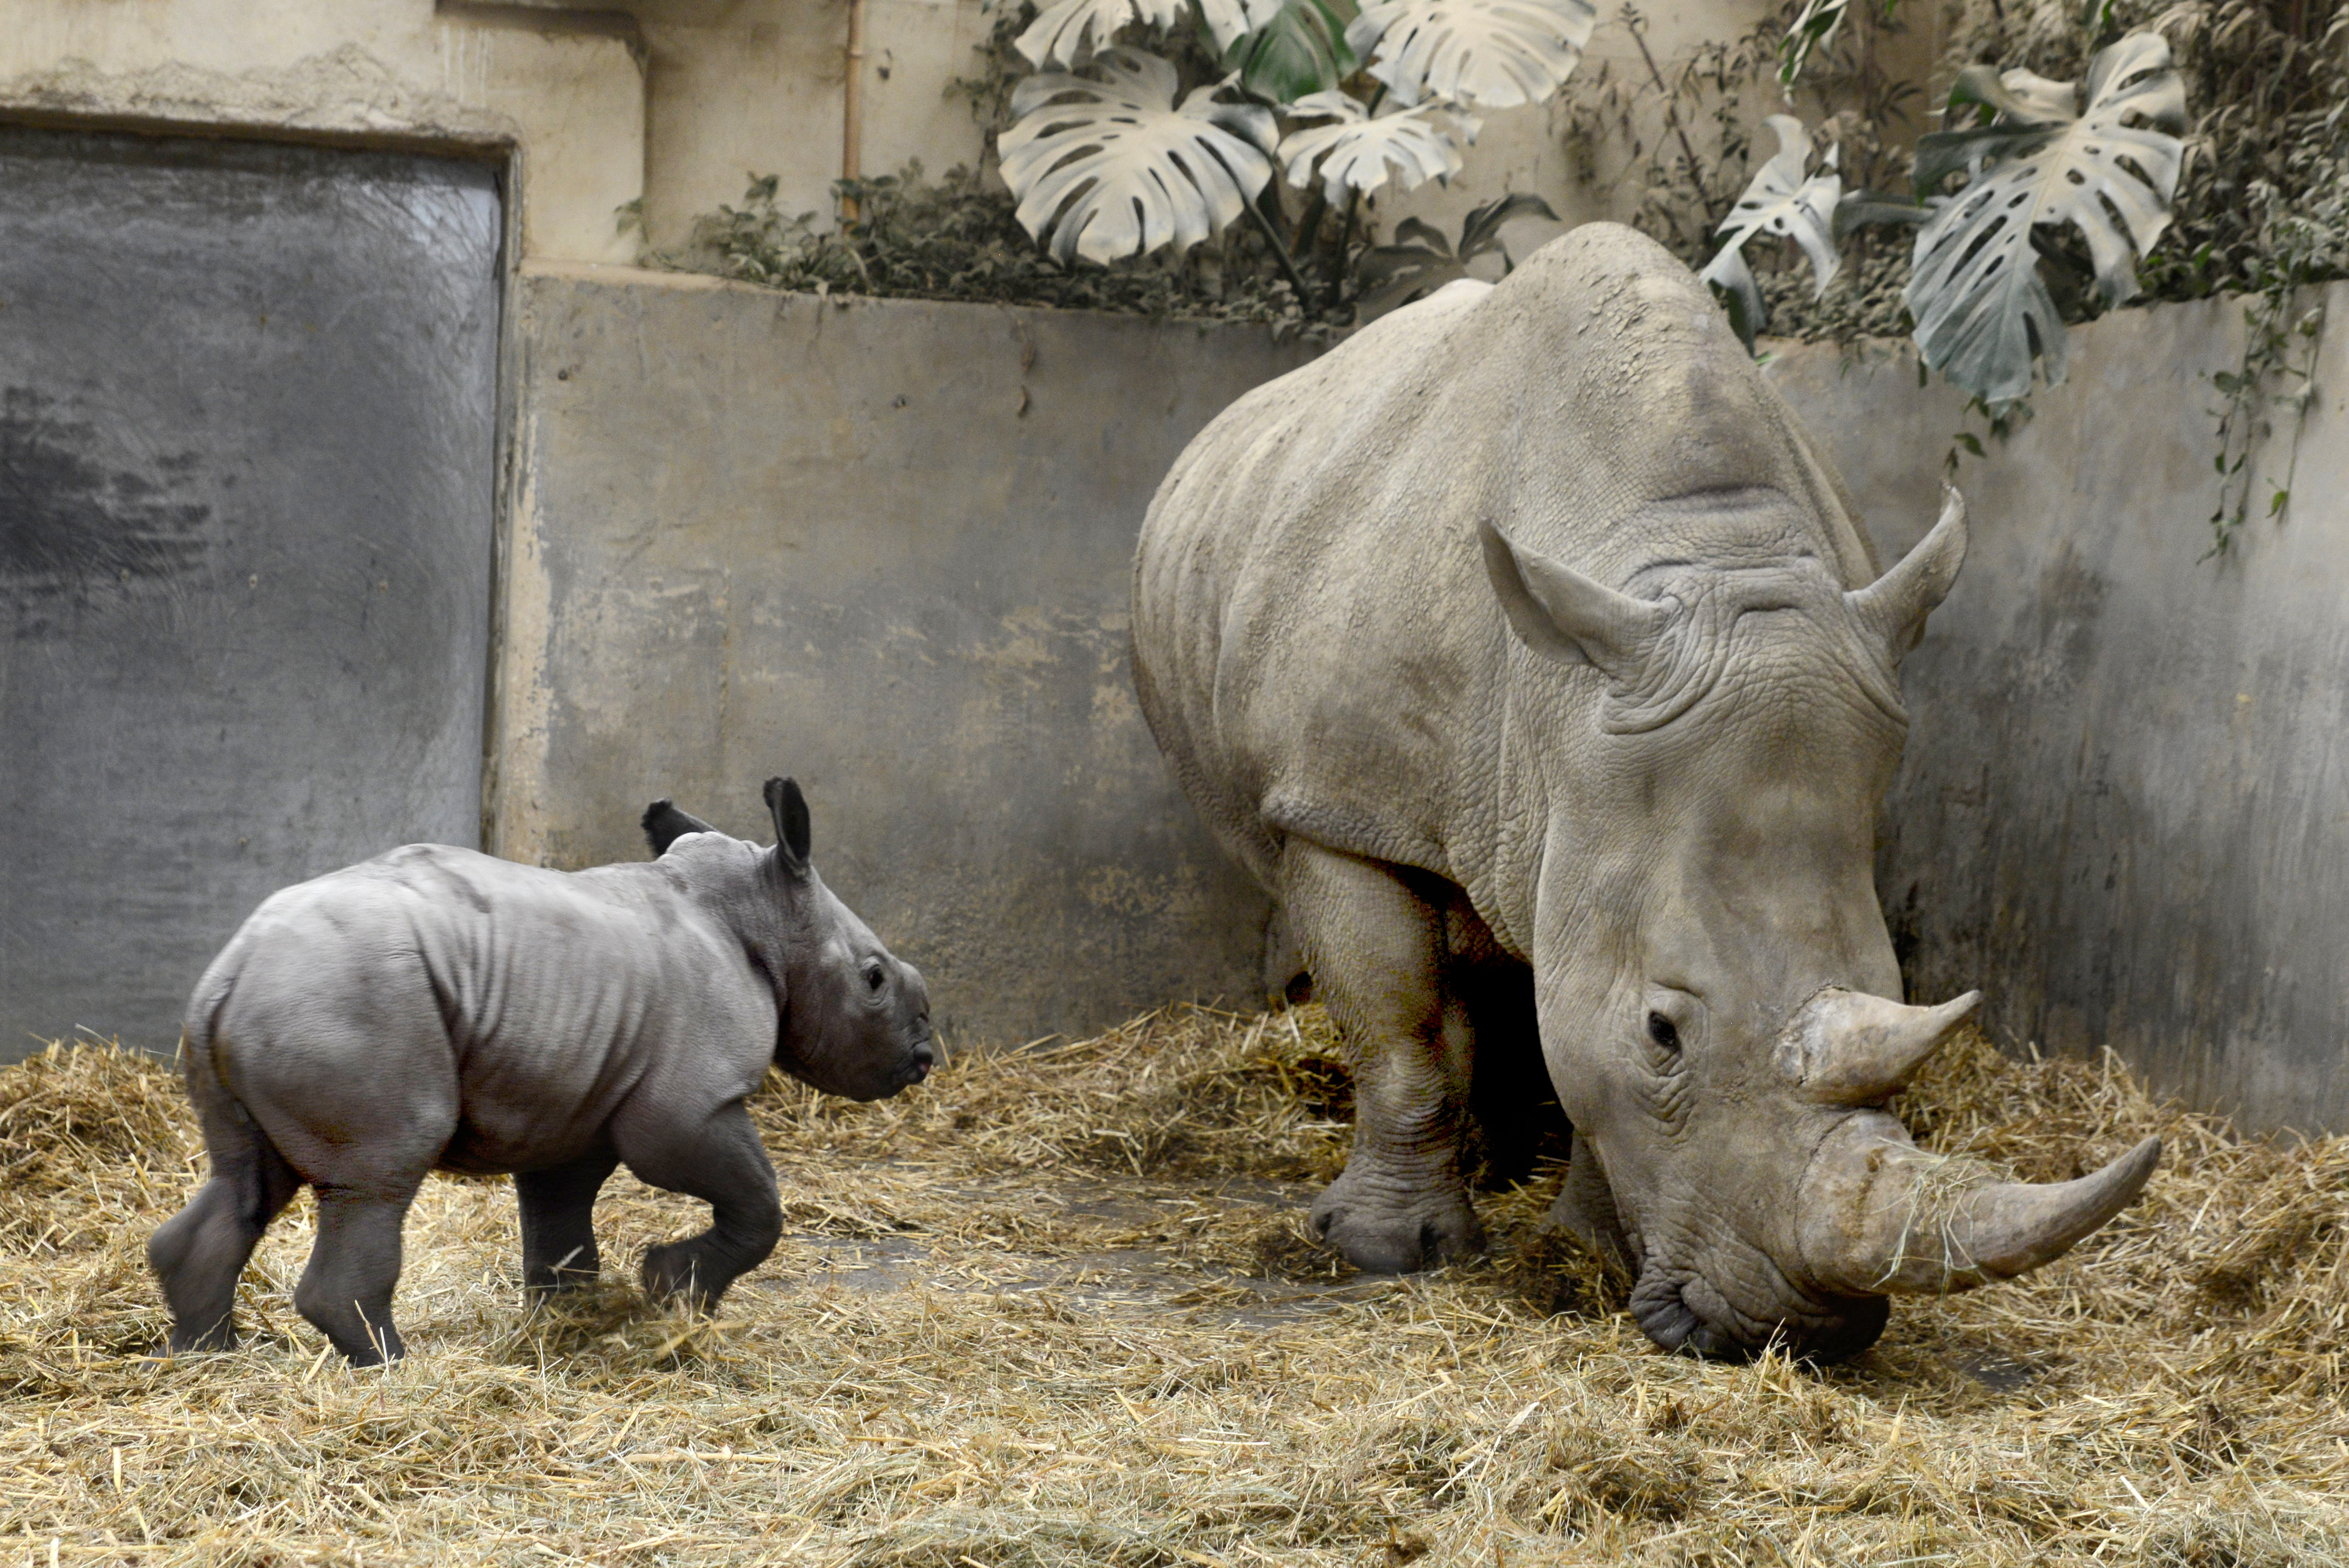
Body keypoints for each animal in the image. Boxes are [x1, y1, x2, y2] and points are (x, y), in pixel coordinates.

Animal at [142, 780, 935, 1363]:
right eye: (873, 979)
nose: (924, 1055)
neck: (763, 912)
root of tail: (231, 973)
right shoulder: (692, 1102)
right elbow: (759, 1202)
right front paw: (673, 1292)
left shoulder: (579, 1098)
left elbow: (561, 1219)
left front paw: (572, 1319)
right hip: (351, 1002)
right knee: (378, 1175)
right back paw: (392, 1364)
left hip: (277, 1009)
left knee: (247, 1177)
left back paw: (204, 1353)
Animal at [1127, 223, 2151, 1363]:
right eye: (1662, 1031)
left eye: (1890, 986)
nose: (1797, 1328)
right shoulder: (1340, 807)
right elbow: (1400, 1028)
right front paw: (1387, 1251)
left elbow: (1576, 1041)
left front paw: (1577, 1254)